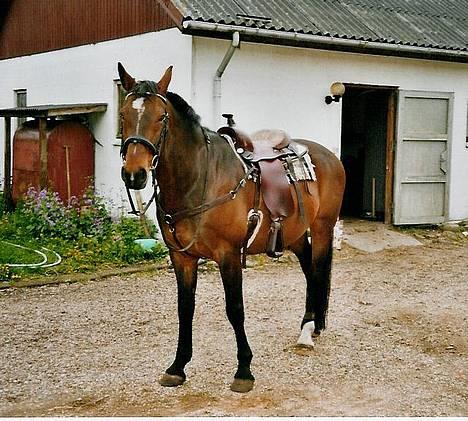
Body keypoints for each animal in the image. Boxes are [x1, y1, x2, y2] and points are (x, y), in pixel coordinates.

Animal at [117, 63, 344, 394]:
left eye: (161, 117)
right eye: (122, 115)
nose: (134, 174)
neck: (200, 180)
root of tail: (327, 155)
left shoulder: (228, 255)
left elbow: (235, 308)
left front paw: (244, 370)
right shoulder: (182, 258)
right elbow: (185, 308)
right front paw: (177, 366)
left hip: (324, 227)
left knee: (317, 271)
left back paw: (308, 332)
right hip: (295, 234)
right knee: (309, 270)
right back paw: (310, 326)